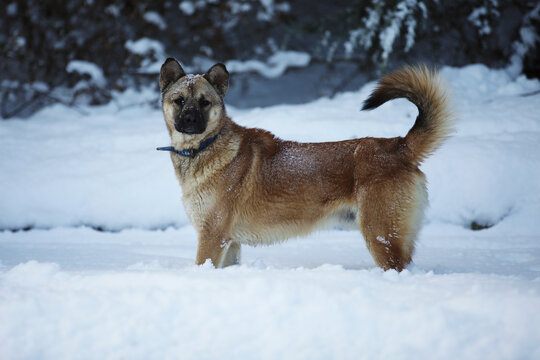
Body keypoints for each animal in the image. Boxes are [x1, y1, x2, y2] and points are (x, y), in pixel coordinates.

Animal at [159, 59, 452, 272]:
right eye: (179, 100)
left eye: (204, 102)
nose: (189, 119)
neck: (204, 147)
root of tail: (399, 146)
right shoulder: (230, 243)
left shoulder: (212, 236)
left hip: (381, 237)